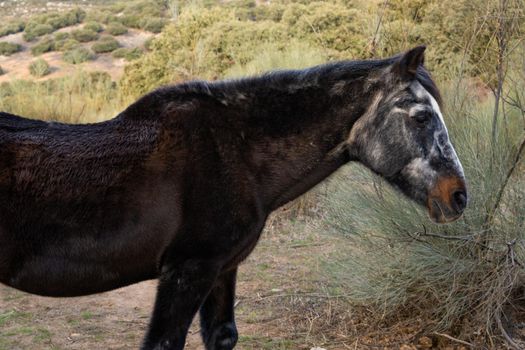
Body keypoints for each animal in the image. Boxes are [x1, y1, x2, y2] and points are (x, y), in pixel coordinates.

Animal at [0, 46, 466, 350]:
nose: (458, 196)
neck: (235, 151)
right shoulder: (188, 270)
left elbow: (222, 336)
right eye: (421, 117)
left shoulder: (222, 270)